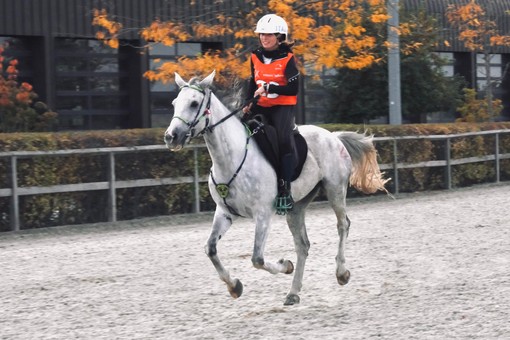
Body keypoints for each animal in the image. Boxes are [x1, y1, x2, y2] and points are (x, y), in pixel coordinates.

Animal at [163, 71, 386, 306]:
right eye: (175, 103)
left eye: (194, 103)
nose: (171, 137)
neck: (232, 157)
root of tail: (333, 136)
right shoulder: (224, 212)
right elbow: (211, 249)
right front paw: (235, 286)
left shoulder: (262, 214)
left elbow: (257, 259)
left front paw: (285, 265)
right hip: (296, 207)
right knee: (303, 245)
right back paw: (293, 293)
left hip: (335, 190)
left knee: (343, 225)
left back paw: (341, 273)